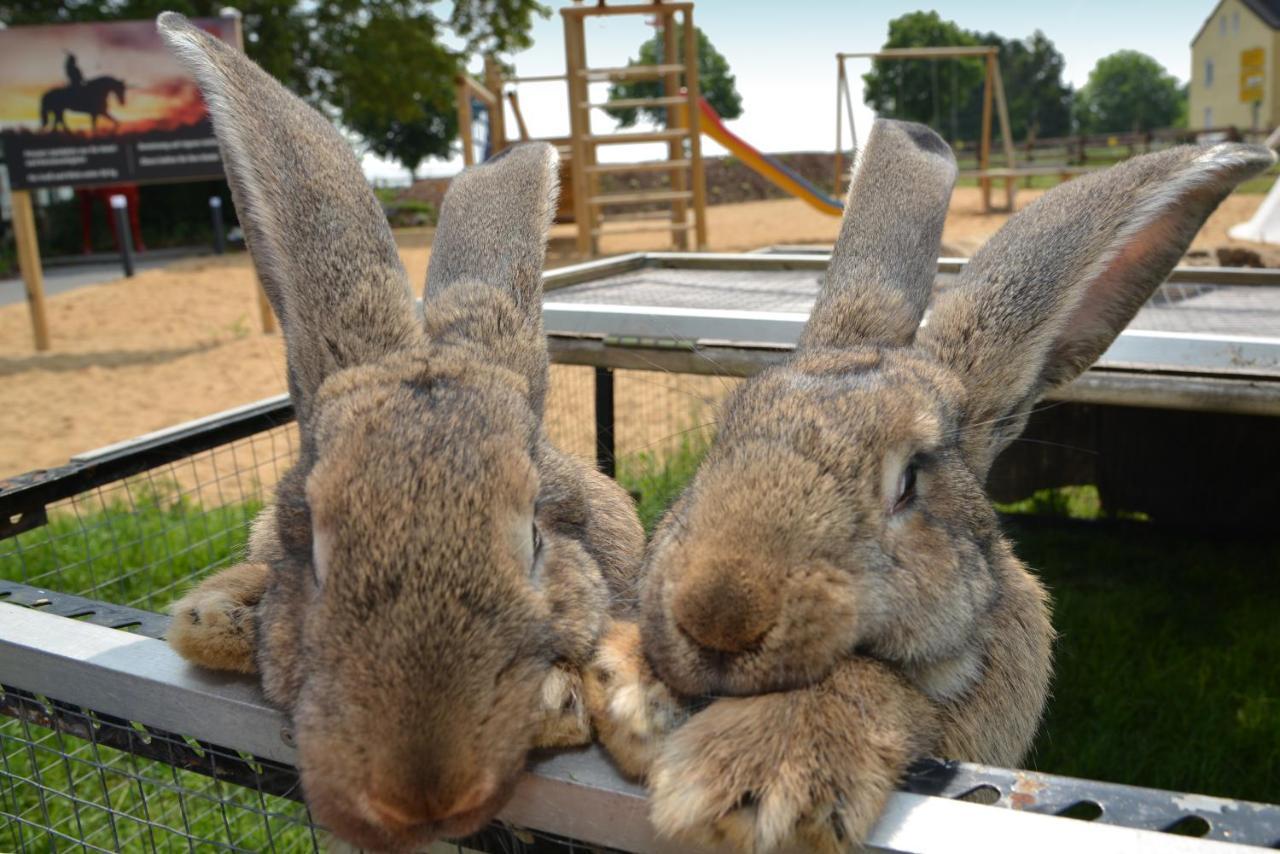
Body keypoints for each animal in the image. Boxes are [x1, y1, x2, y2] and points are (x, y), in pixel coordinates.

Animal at [586, 121, 1274, 854]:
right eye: (724, 435)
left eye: (910, 480)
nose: (717, 616)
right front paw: (630, 687)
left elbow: (881, 686)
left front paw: (754, 773)